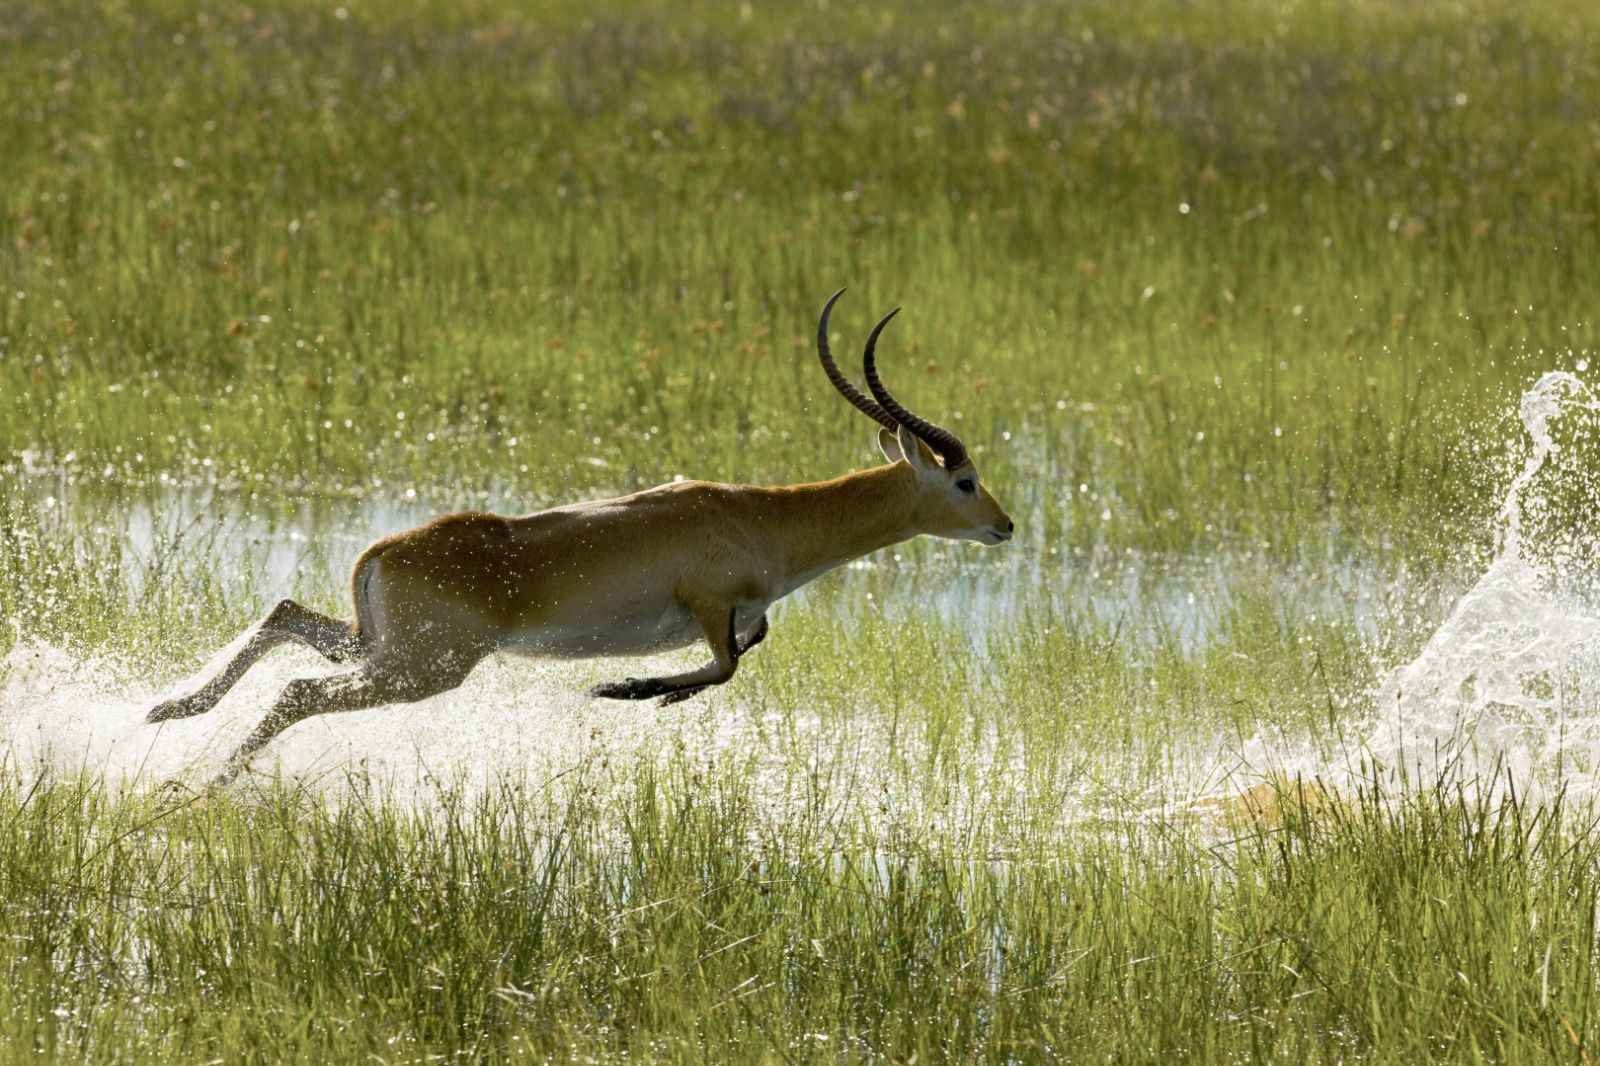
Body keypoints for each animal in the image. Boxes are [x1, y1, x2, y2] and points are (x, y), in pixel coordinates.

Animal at [147, 290, 1014, 783]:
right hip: (422, 669)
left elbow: (743, 652)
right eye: (964, 481)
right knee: (298, 690)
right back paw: (208, 778)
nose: (1005, 526)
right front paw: (626, 688)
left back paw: (168, 712)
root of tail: (384, 550)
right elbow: (727, 664)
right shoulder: (708, 604)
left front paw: (647, 692)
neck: (759, 519)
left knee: (286, 615)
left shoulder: (742, 613)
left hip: (379, 647)